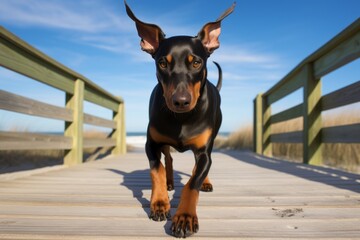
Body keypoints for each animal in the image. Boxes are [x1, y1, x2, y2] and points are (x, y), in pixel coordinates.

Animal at [125, 1, 235, 238]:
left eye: (196, 63)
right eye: (162, 63)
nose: (181, 101)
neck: (183, 118)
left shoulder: (203, 151)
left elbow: (192, 183)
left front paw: (185, 216)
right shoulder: (151, 144)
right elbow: (156, 170)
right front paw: (159, 203)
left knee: (197, 167)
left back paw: (205, 182)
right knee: (169, 159)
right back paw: (169, 182)